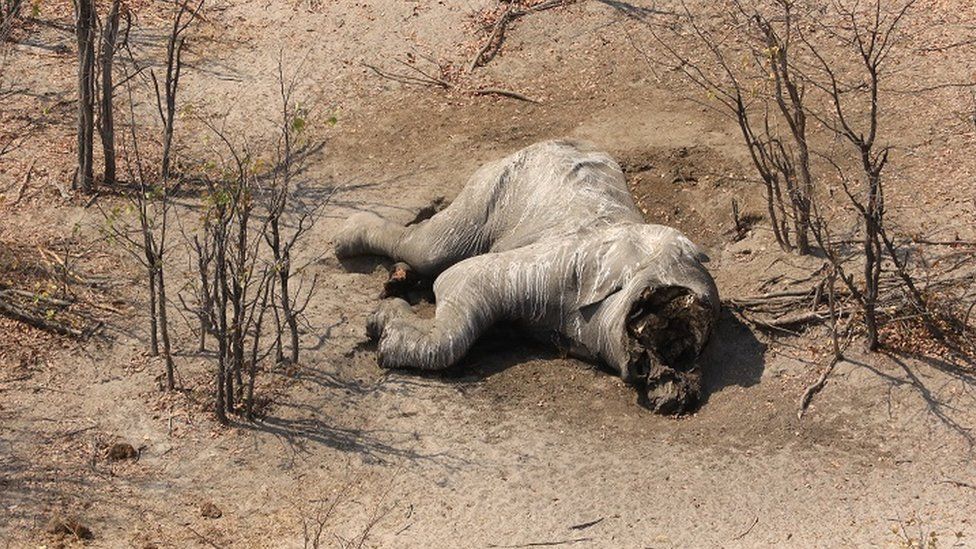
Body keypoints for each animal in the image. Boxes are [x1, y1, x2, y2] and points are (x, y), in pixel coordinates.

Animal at [336, 139, 716, 414]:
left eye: (687, 348)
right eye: (659, 298)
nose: (678, 388)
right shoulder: (561, 267)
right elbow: (458, 280)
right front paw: (379, 326)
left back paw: (396, 278)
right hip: (497, 183)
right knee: (429, 249)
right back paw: (347, 239)